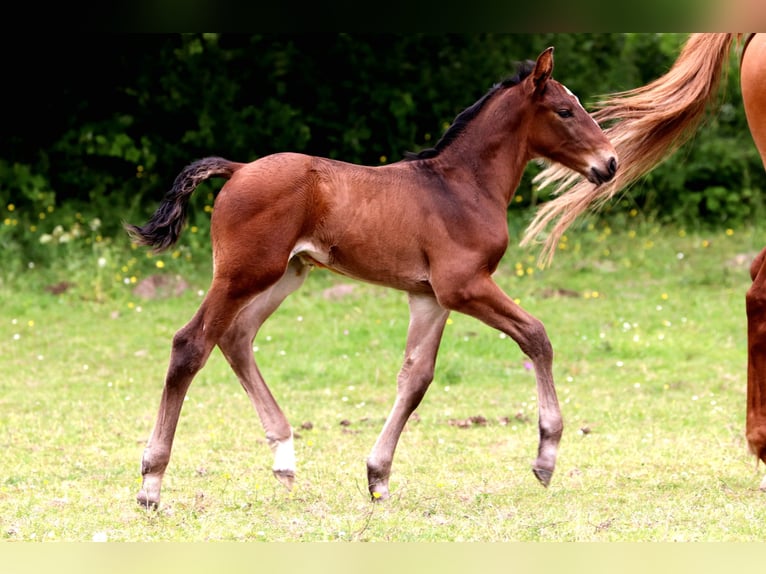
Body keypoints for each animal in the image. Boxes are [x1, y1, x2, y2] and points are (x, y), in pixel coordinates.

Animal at [126, 48, 616, 508]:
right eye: (565, 111)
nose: (610, 163)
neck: (462, 186)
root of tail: (240, 169)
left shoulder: (430, 297)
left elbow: (416, 378)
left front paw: (377, 476)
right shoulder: (464, 286)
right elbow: (536, 336)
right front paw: (546, 456)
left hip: (285, 274)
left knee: (236, 336)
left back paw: (284, 457)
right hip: (242, 273)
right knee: (191, 343)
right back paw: (151, 483)